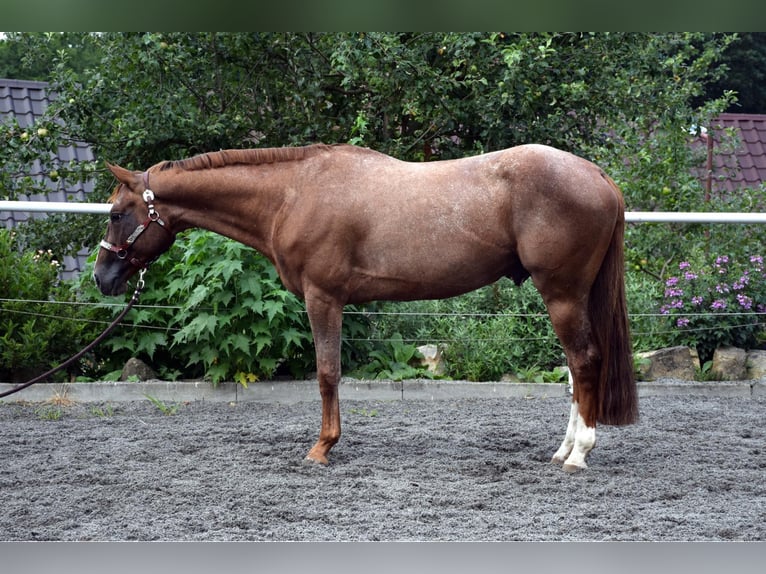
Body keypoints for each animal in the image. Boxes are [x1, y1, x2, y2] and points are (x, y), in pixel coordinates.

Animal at [93, 143, 640, 472]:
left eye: (118, 213)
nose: (102, 277)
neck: (293, 193)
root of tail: (598, 176)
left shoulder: (323, 297)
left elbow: (327, 373)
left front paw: (322, 448)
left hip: (562, 293)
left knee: (584, 362)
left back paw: (578, 455)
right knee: (575, 369)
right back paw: (562, 450)